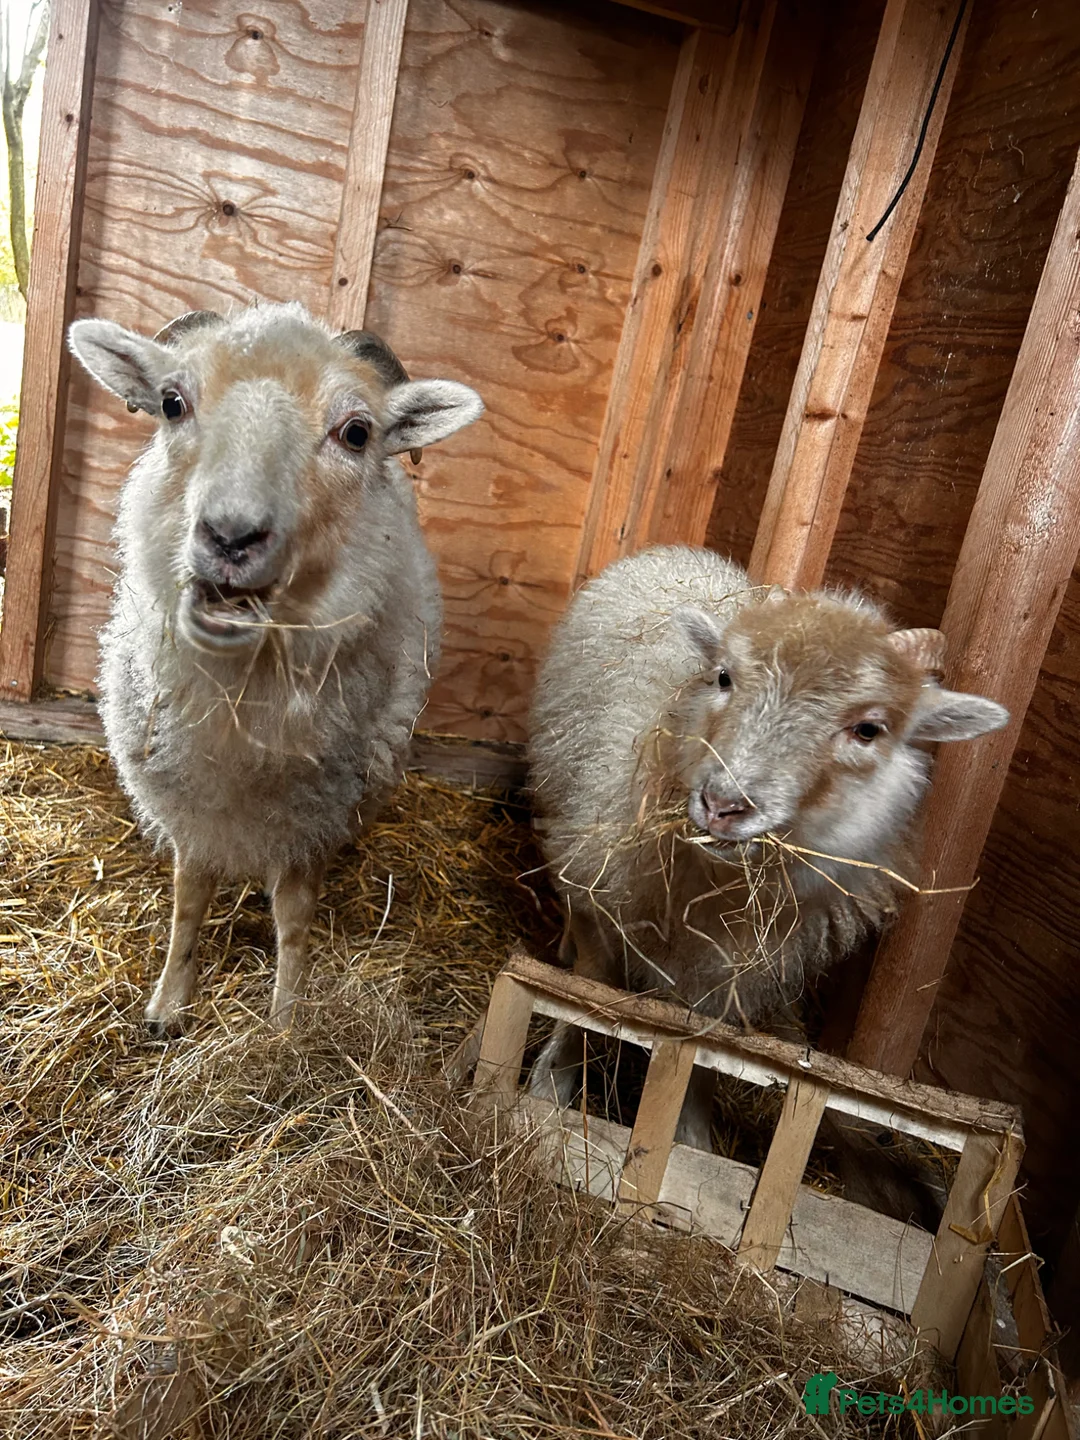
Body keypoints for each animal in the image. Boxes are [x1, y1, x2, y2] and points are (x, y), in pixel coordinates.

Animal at [67, 302, 483, 1034]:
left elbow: (293, 915)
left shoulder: (311, 815)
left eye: (356, 433)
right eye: (172, 403)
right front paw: (169, 1004)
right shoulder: (187, 799)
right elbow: (189, 897)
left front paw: (286, 1018)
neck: (241, 701)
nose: (230, 536)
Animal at [527, 544, 1008, 1148]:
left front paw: (691, 1137)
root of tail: (679, 550)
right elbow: (584, 1001)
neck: (717, 889)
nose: (722, 803)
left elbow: (707, 1051)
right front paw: (548, 1089)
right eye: (723, 677)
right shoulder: (600, 891)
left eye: (869, 729)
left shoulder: (743, 969)